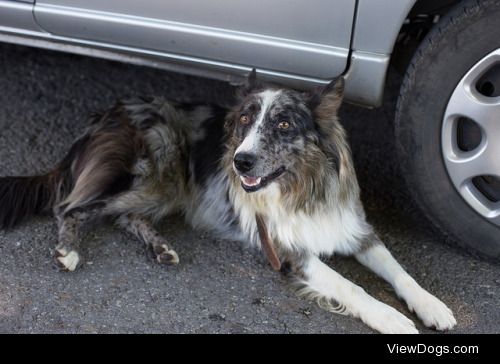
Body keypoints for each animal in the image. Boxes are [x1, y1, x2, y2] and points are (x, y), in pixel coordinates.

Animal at [0, 70, 456, 332]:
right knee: (72, 206)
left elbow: (400, 272)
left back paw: (161, 247)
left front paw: (432, 306)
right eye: (244, 121)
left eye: (284, 124)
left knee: (125, 217)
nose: (240, 161)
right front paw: (393, 320)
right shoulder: (290, 252)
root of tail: (106, 115)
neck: (301, 186)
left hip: (165, 187)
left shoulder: (355, 229)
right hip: (155, 170)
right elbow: (354, 288)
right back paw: (68, 251)